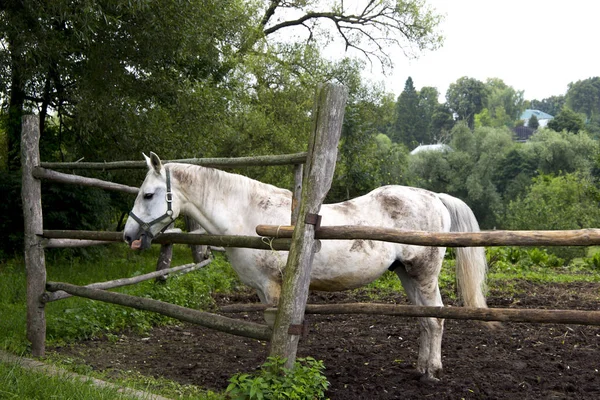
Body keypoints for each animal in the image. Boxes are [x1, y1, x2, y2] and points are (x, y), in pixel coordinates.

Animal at [124, 152, 490, 380]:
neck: (249, 214)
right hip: (406, 275)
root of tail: (434, 197)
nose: (129, 236)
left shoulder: (272, 288)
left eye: (148, 195)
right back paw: (422, 368)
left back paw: (432, 372)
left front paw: (275, 370)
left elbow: (275, 329)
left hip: (423, 275)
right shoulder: (263, 291)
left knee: (436, 320)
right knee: (425, 322)